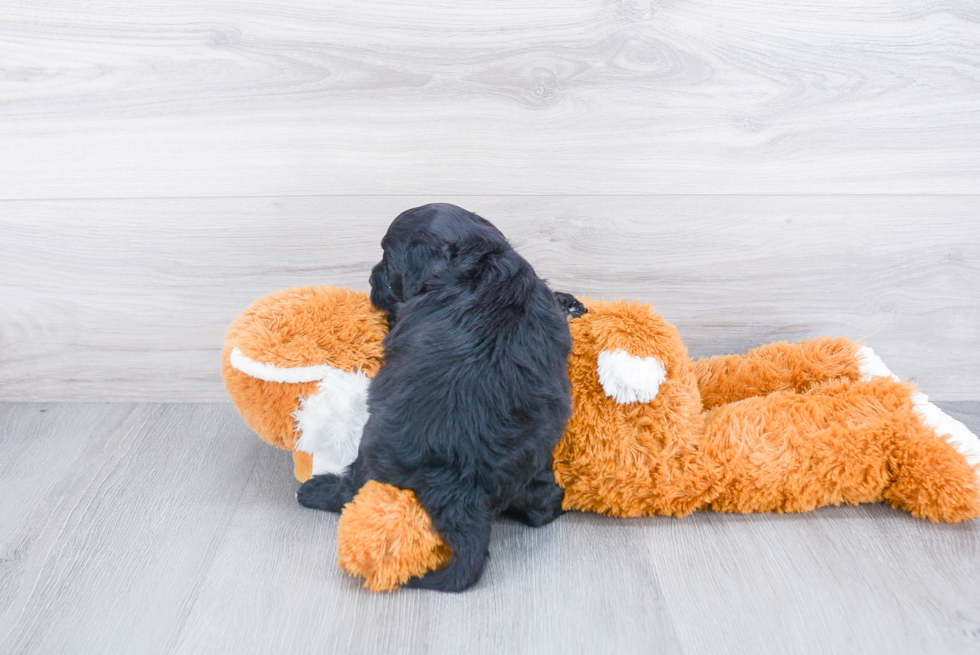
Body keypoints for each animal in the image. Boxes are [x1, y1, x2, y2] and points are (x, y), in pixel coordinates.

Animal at [298, 202, 576, 592]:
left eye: (388, 261)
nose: (370, 277)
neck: (479, 261)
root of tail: (464, 484)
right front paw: (566, 301)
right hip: (535, 459)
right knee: (540, 507)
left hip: (371, 448)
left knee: (353, 489)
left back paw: (317, 490)